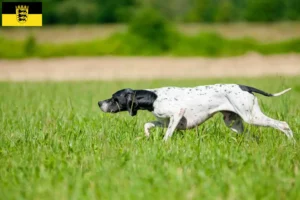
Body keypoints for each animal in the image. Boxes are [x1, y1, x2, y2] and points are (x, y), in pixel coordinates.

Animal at [98, 84, 292, 141]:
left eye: (114, 99)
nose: (99, 103)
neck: (153, 97)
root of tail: (245, 87)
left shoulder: (177, 114)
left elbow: (167, 135)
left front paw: (163, 145)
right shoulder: (164, 121)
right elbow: (148, 124)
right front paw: (146, 135)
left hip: (251, 116)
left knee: (283, 125)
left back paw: (291, 142)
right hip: (234, 123)